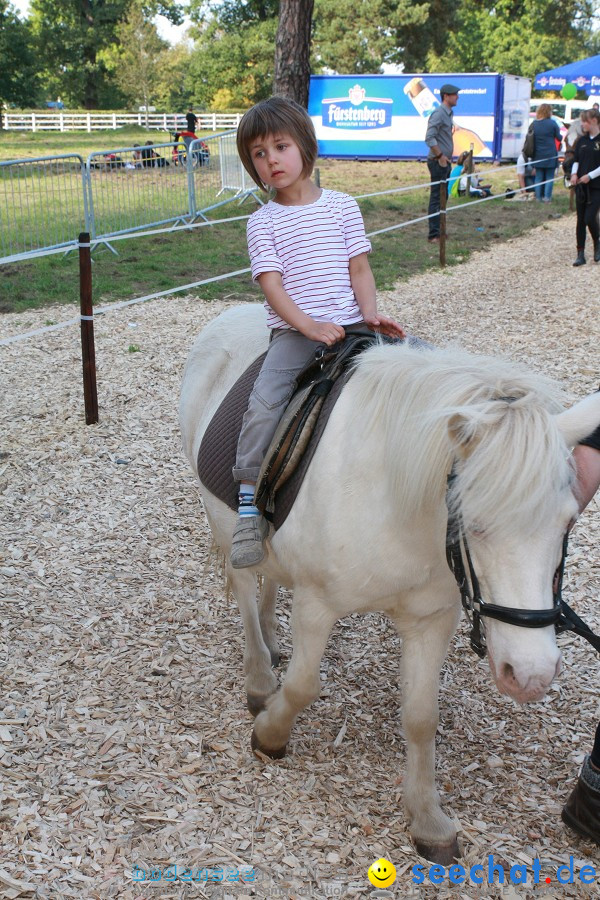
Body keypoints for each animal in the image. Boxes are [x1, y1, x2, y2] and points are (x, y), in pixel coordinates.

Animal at [179, 304, 600, 864]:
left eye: (569, 520)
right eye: (473, 523)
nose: (530, 675)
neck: (395, 502)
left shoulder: (431, 619)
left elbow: (421, 716)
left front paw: (427, 819)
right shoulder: (317, 605)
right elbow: (304, 686)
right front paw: (269, 734)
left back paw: (270, 641)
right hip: (226, 521)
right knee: (247, 590)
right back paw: (259, 678)